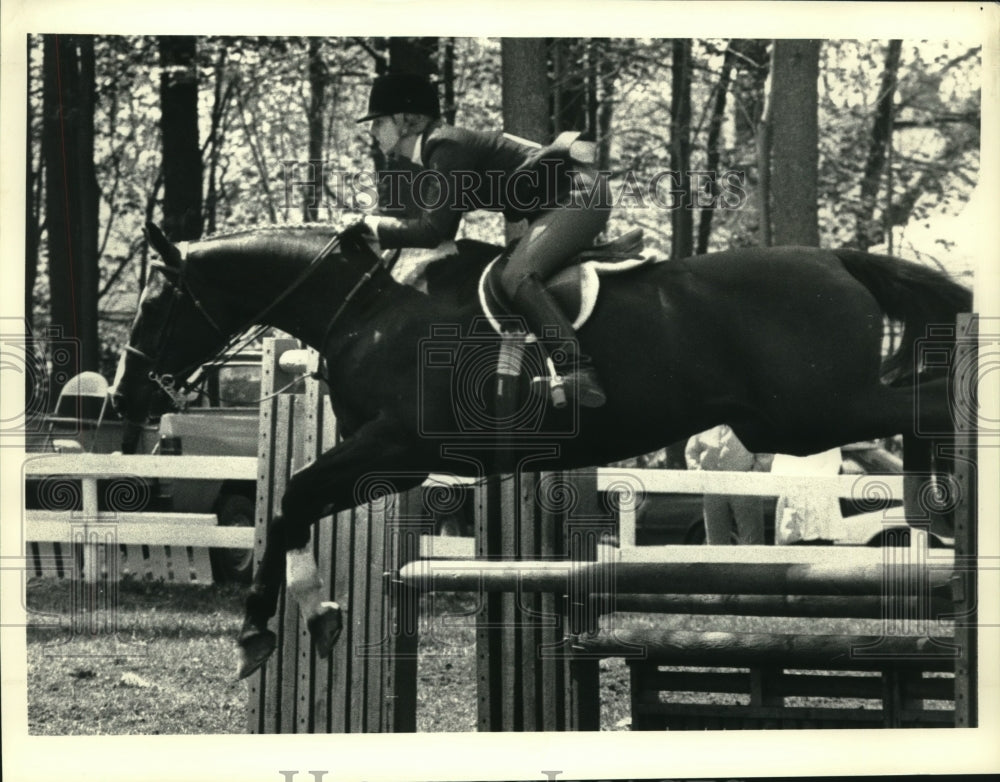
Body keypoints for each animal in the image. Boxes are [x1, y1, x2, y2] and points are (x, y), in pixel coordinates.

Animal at [107, 222, 968, 680]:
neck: (368, 308)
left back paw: (943, 506)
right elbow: (294, 505)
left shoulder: (393, 445)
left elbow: (289, 499)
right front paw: (310, 615)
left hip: (809, 413)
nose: (123, 400)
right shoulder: (390, 459)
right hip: (790, 421)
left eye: (154, 304)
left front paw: (265, 628)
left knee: (925, 404)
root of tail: (836, 260)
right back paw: (939, 509)